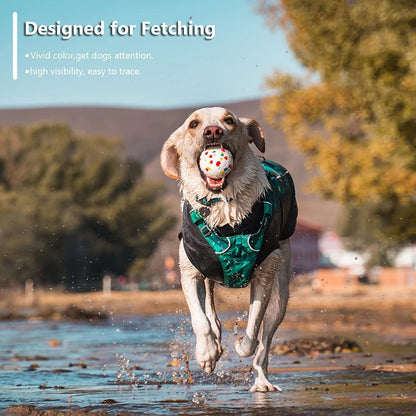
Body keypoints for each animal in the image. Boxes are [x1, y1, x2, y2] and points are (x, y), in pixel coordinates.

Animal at [161, 105, 298, 392]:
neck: (224, 208)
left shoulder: (264, 275)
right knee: (209, 305)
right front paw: (206, 353)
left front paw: (238, 344)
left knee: (265, 342)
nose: (213, 131)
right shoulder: (190, 271)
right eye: (193, 124)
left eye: (229, 120)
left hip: (281, 291)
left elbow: (253, 331)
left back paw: (262, 381)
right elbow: (199, 319)